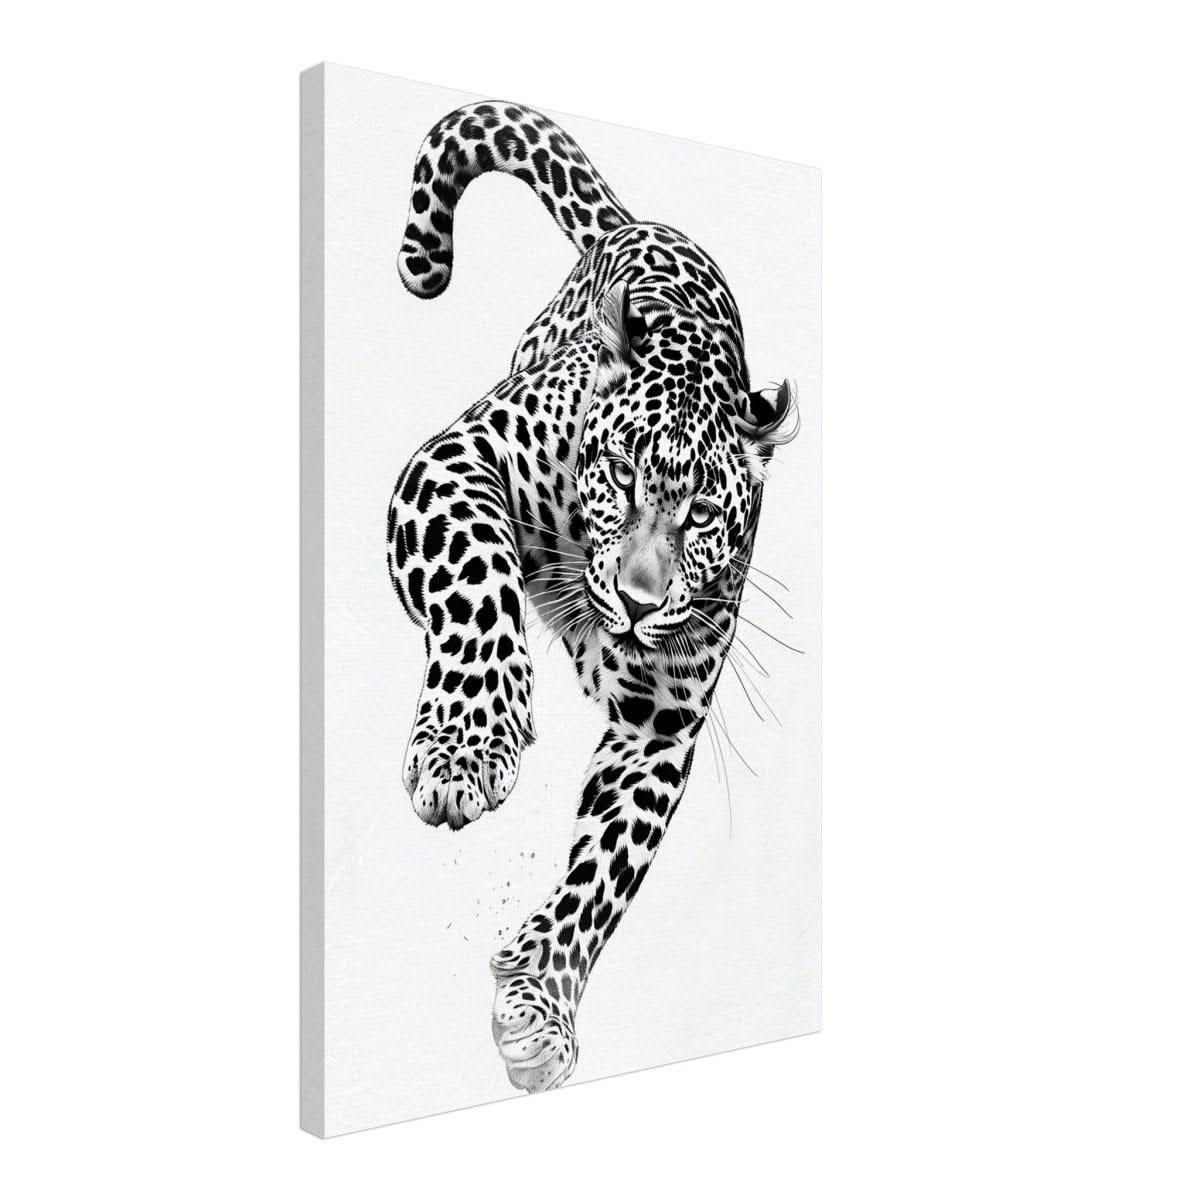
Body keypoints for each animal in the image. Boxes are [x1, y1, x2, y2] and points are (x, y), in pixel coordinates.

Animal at [387, 101, 797, 1094]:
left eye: (703, 514)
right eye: (617, 473)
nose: (641, 602)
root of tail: (641, 222)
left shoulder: (659, 723)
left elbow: (605, 872)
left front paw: (538, 1003)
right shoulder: (454, 463)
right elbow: (478, 579)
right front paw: (466, 748)